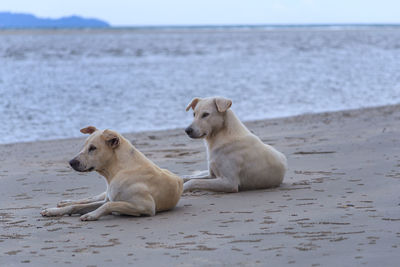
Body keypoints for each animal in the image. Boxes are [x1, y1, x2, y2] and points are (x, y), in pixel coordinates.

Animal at [40, 127, 181, 222]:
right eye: (84, 146)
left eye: (93, 148)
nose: (71, 162)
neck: (118, 170)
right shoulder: (109, 198)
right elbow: (77, 206)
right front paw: (54, 211)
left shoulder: (145, 206)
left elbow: (109, 204)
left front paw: (92, 214)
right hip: (104, 194)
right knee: (90, 199)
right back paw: (65, 202)